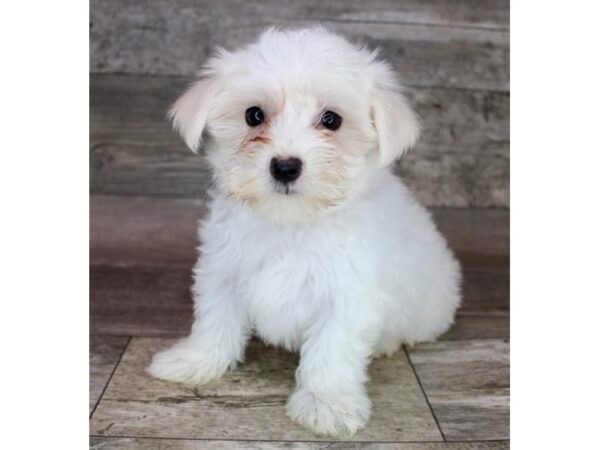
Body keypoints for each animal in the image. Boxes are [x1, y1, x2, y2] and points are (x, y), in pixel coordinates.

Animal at [149, 26, 460, 438]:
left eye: (331, 120)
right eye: (254, 115)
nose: (285, 166)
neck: (291, 222)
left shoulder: (347, 294)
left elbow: (332, 349)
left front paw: (326, 403)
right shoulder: (223, 270)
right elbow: (215, 319)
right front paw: (195, 361)